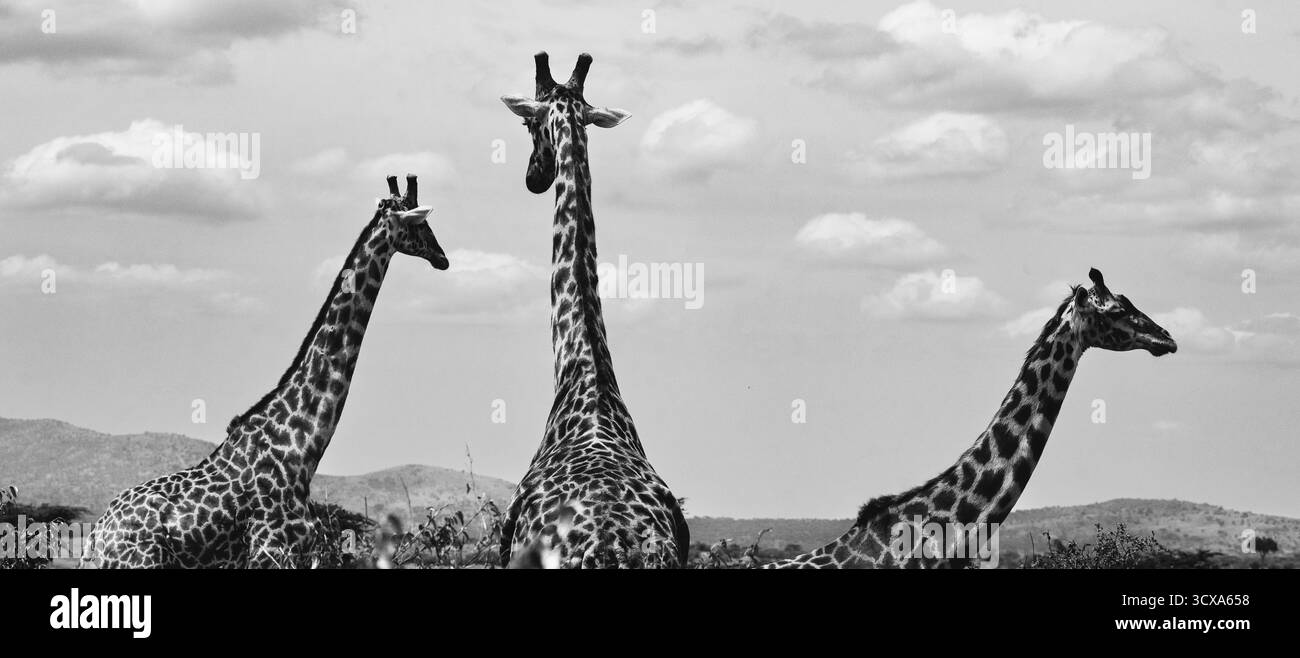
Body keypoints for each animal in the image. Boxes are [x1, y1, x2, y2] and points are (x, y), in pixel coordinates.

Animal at [82, 176, 448, 568]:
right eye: (421, 224)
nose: (443, 258)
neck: (302, 448)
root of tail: (96, 536)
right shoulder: (272, 551)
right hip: (140, 562)